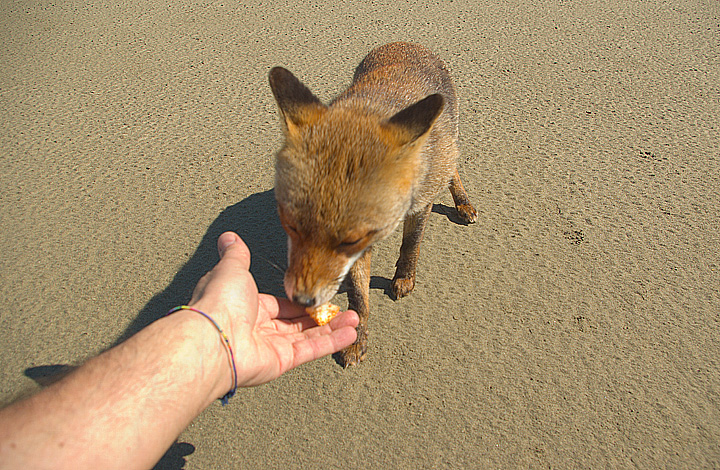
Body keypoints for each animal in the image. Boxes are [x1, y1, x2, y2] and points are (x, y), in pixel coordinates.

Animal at [268, 42, 476, 366]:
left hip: (447, 141)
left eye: (350, 240)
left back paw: (462, 201)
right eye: (290, 226)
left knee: (452, 165)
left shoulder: (417, 205)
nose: (302, 300)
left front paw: (404, 277)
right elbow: (358, 295)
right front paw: (358, 337)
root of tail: (406, 42)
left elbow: (411, 245)